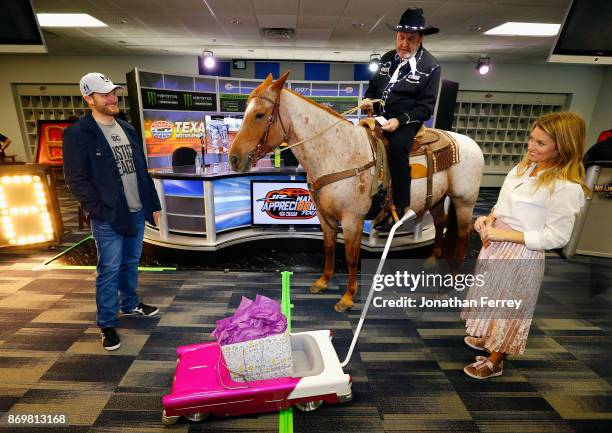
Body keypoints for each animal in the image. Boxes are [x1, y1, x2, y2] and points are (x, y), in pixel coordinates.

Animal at [228, 73, 482, 310]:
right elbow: (329, 248)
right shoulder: (325, 218)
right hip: (438, 199)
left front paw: (348, 297)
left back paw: (452, 281)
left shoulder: (352, 220)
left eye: (259, 114)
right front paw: (323, 281)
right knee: (440, 224)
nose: (234, 158)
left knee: (463, 234)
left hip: (464, 201)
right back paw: (431, 260)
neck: (337, 153)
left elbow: (351, 257)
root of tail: (470, 144)